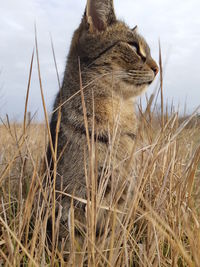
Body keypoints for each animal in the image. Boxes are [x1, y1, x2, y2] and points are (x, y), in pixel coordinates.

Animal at [46, 0, 159, 260]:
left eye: (148, 50)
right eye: (133, 47)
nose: (157, 67)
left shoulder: (121, 198)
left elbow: (111, 242)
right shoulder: (74, 200)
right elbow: (74, 247)